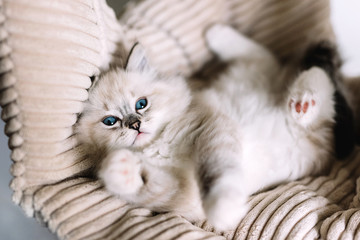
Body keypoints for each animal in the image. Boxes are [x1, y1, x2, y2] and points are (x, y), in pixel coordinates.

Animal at [76, 24, 338, 231]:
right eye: (110, 121)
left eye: (141, 104)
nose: (135, 124)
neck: (159, 146)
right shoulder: (182, 195)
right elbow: (147, 188)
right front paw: (119, 169)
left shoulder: (210, 130)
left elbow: (216, 173)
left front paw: (224, 210)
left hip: (266, 79)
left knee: (307, 74)